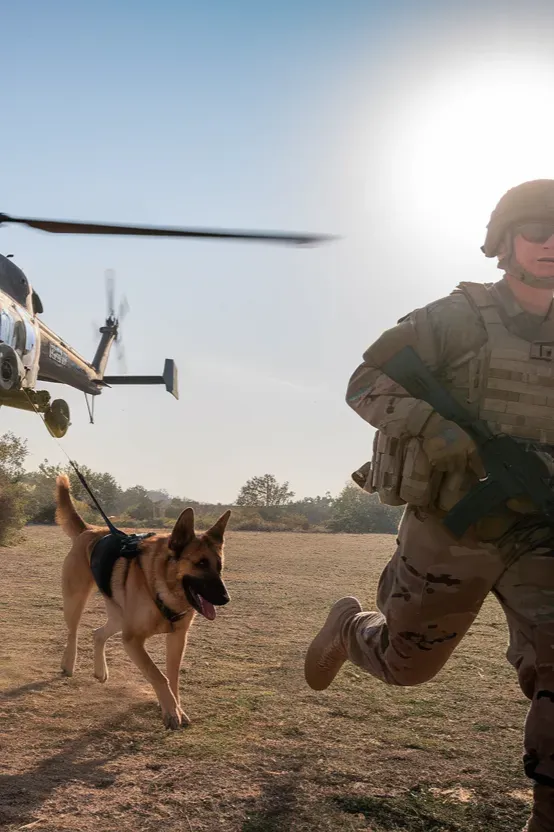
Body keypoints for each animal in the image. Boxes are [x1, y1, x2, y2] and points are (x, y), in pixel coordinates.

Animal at [56, 474, 229, 728]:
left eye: (219, 566)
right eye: (200, 564)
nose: (226, 598)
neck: (163, 588)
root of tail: (90, 529)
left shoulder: (177, 639)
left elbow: (172, 676)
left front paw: (176, 707)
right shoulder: (132, 640)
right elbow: (158, 675)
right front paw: (171, 712)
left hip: (118, 618)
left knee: (97, 634)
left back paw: (100, 671)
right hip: (75, 601)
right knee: (72, 632)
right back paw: (68, 663)